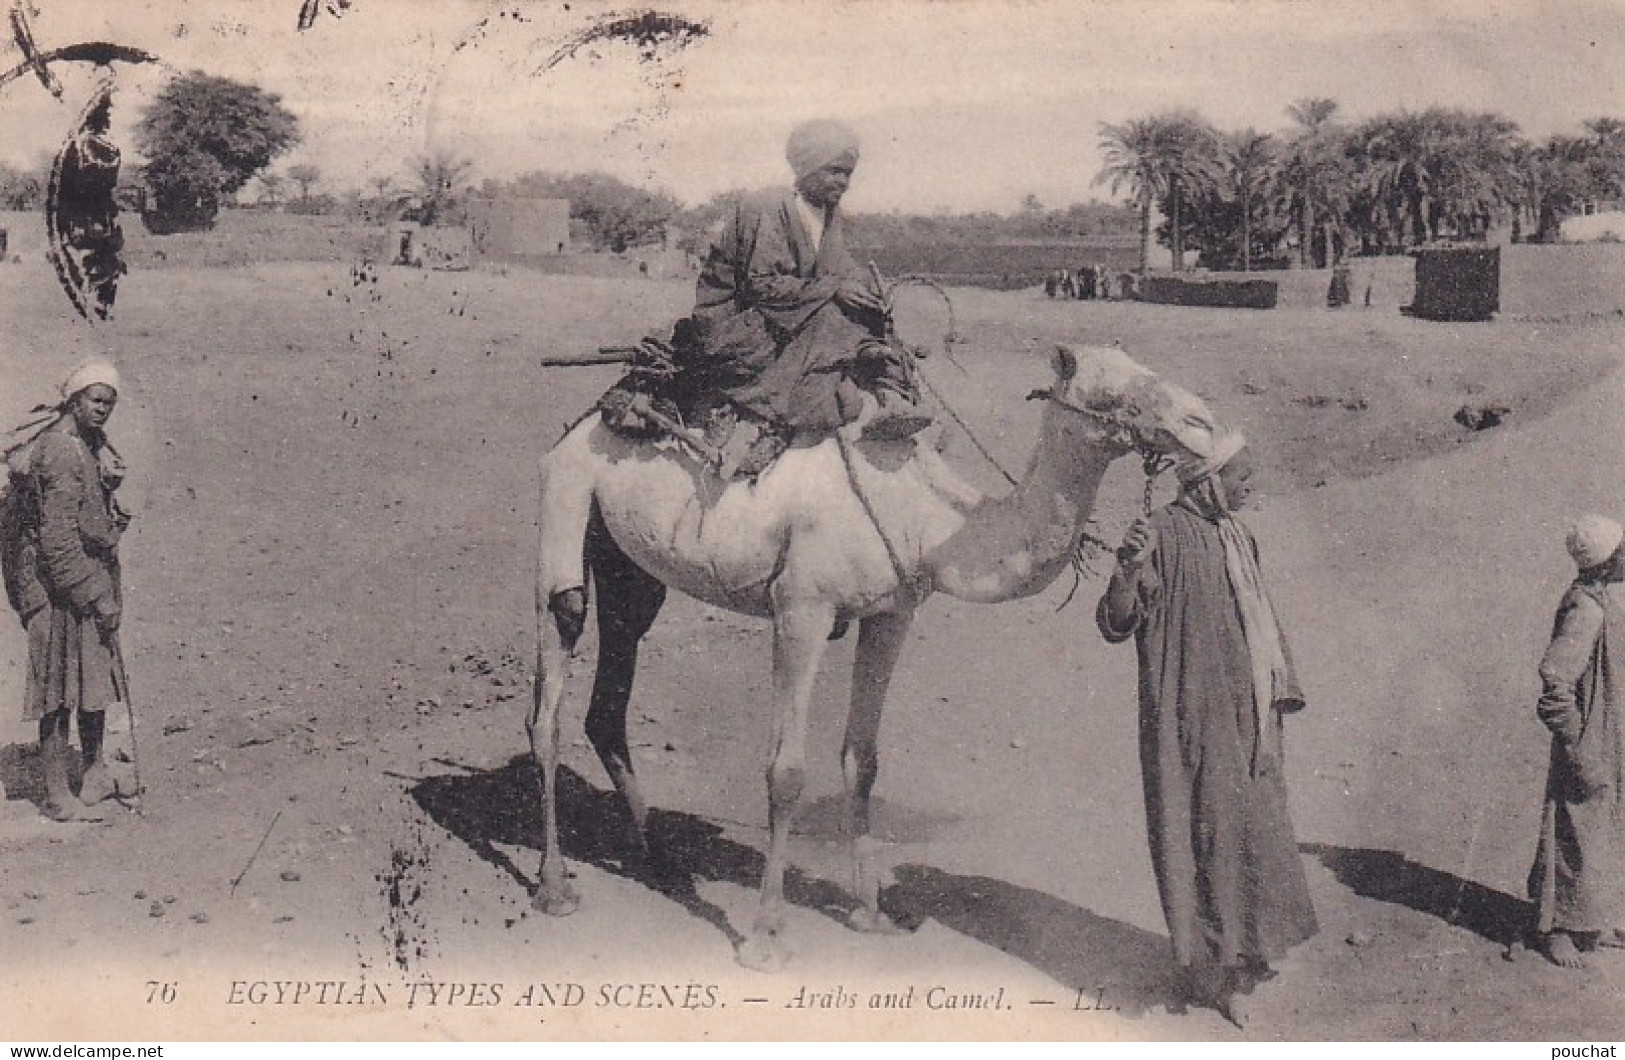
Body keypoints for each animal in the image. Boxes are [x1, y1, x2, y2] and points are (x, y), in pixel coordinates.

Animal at [529, 346, 1222, 968]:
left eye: (1147, 367)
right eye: (1112, 391)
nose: (1203, 424)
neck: (929, 520)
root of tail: (579, 424)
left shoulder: (891, 615)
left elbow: (863, 760)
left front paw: (870, 912)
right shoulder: (801, 609)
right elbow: (786, 772)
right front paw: (765, 936)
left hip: (630, 568)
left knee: (607, 702)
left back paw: (662, 862)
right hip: (566, 504)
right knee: (551, 690)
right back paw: (555, 886)